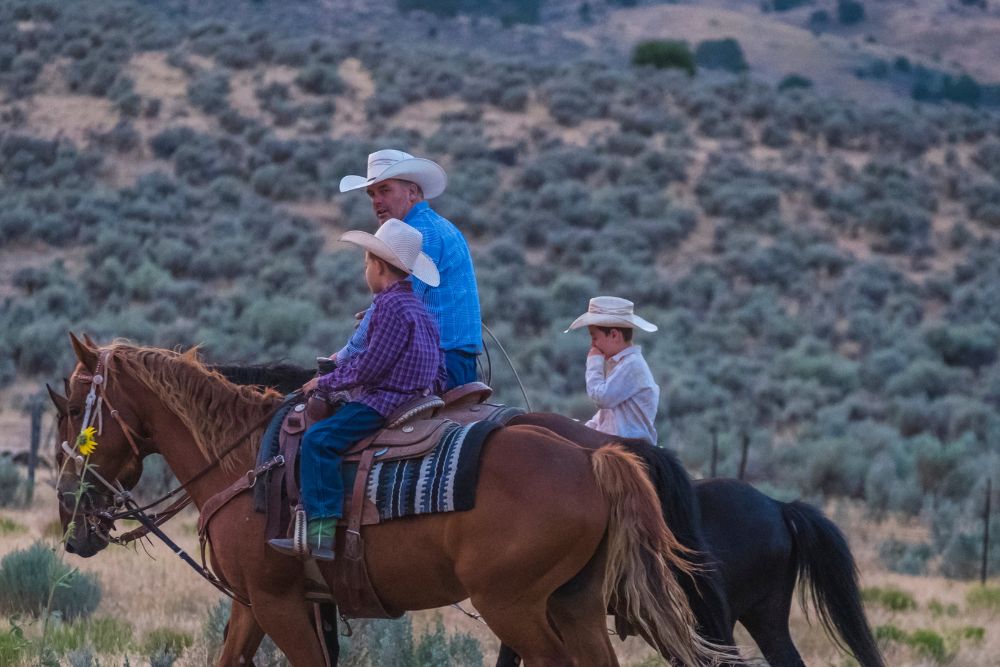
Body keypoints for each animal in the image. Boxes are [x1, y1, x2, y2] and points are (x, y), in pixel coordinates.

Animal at [54, 340, 724, 667]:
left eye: (74, 409)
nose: (69, 513)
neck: (245, 461)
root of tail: (595, 459)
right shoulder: (257, 602)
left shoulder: (278, 602)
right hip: (574, 602)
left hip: (514, 606)